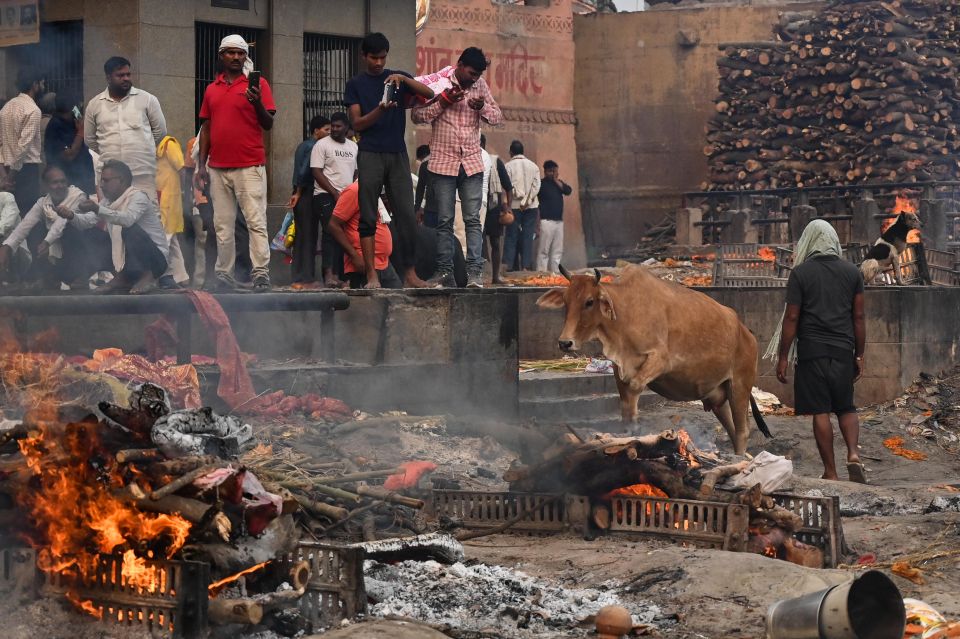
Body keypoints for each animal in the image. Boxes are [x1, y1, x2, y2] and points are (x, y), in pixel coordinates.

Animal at [536, 264, 768, 456]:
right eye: (566, 301)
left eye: (589, 301)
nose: (565, 342)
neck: (625, 312)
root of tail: (746, 332)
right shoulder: (619, 369)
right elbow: (626, 405)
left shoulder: (660, 361)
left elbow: (635, 387)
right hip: (717, 395)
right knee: (731, 428)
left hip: (739, 386)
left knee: (742, 431)